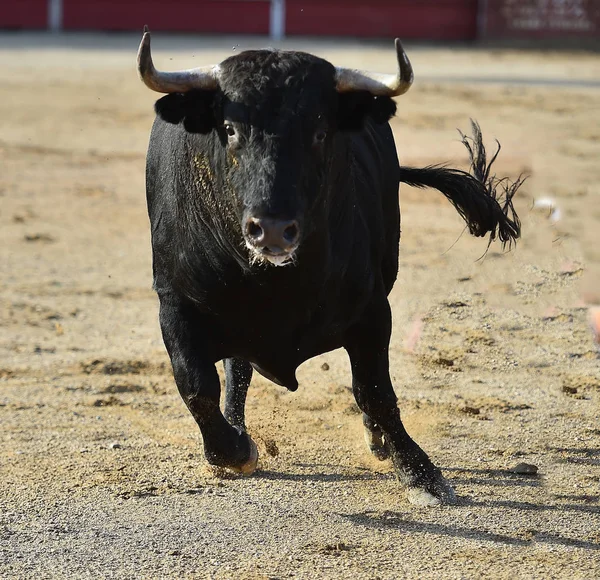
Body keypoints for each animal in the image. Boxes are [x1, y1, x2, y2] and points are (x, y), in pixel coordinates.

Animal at [137, 29, 520, 506]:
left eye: (321, 132)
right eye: (228, 129)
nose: (273, 229)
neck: (274, 284)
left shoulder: (372, 309)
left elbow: (374, 391)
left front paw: (420, 473)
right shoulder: (174, 301)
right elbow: (195, 384)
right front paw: (233, 451)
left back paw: (378, 439)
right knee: (236, 369)